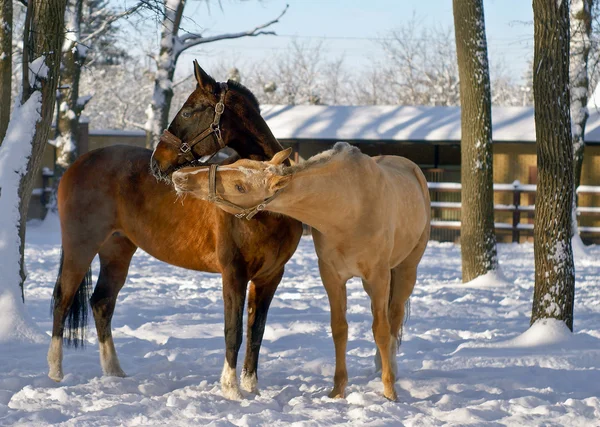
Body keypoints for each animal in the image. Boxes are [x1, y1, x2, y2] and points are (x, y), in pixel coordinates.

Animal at [47, 61, 302, 402]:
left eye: (190, 111)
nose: (157, 163)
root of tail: (78, 163)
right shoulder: (233, 272)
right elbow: (233, 331)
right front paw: (231, 390)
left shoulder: (270, 276)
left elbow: (256, 332)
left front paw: (251, 388)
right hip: (80, 245)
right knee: (62, 298)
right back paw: (55, 371)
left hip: (117, 249)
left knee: (101, 302)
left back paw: (114, 372)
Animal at [172, 144, 432, 402]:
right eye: (235, 163)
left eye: (240, 187)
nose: (180, 177)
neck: (349, 207)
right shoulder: (331, 277)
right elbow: (339, 329)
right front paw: (338, 391)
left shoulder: (378, 277)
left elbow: (381, 330)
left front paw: (389, 393)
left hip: (405, 272)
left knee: (394, 317)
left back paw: (390, 370)